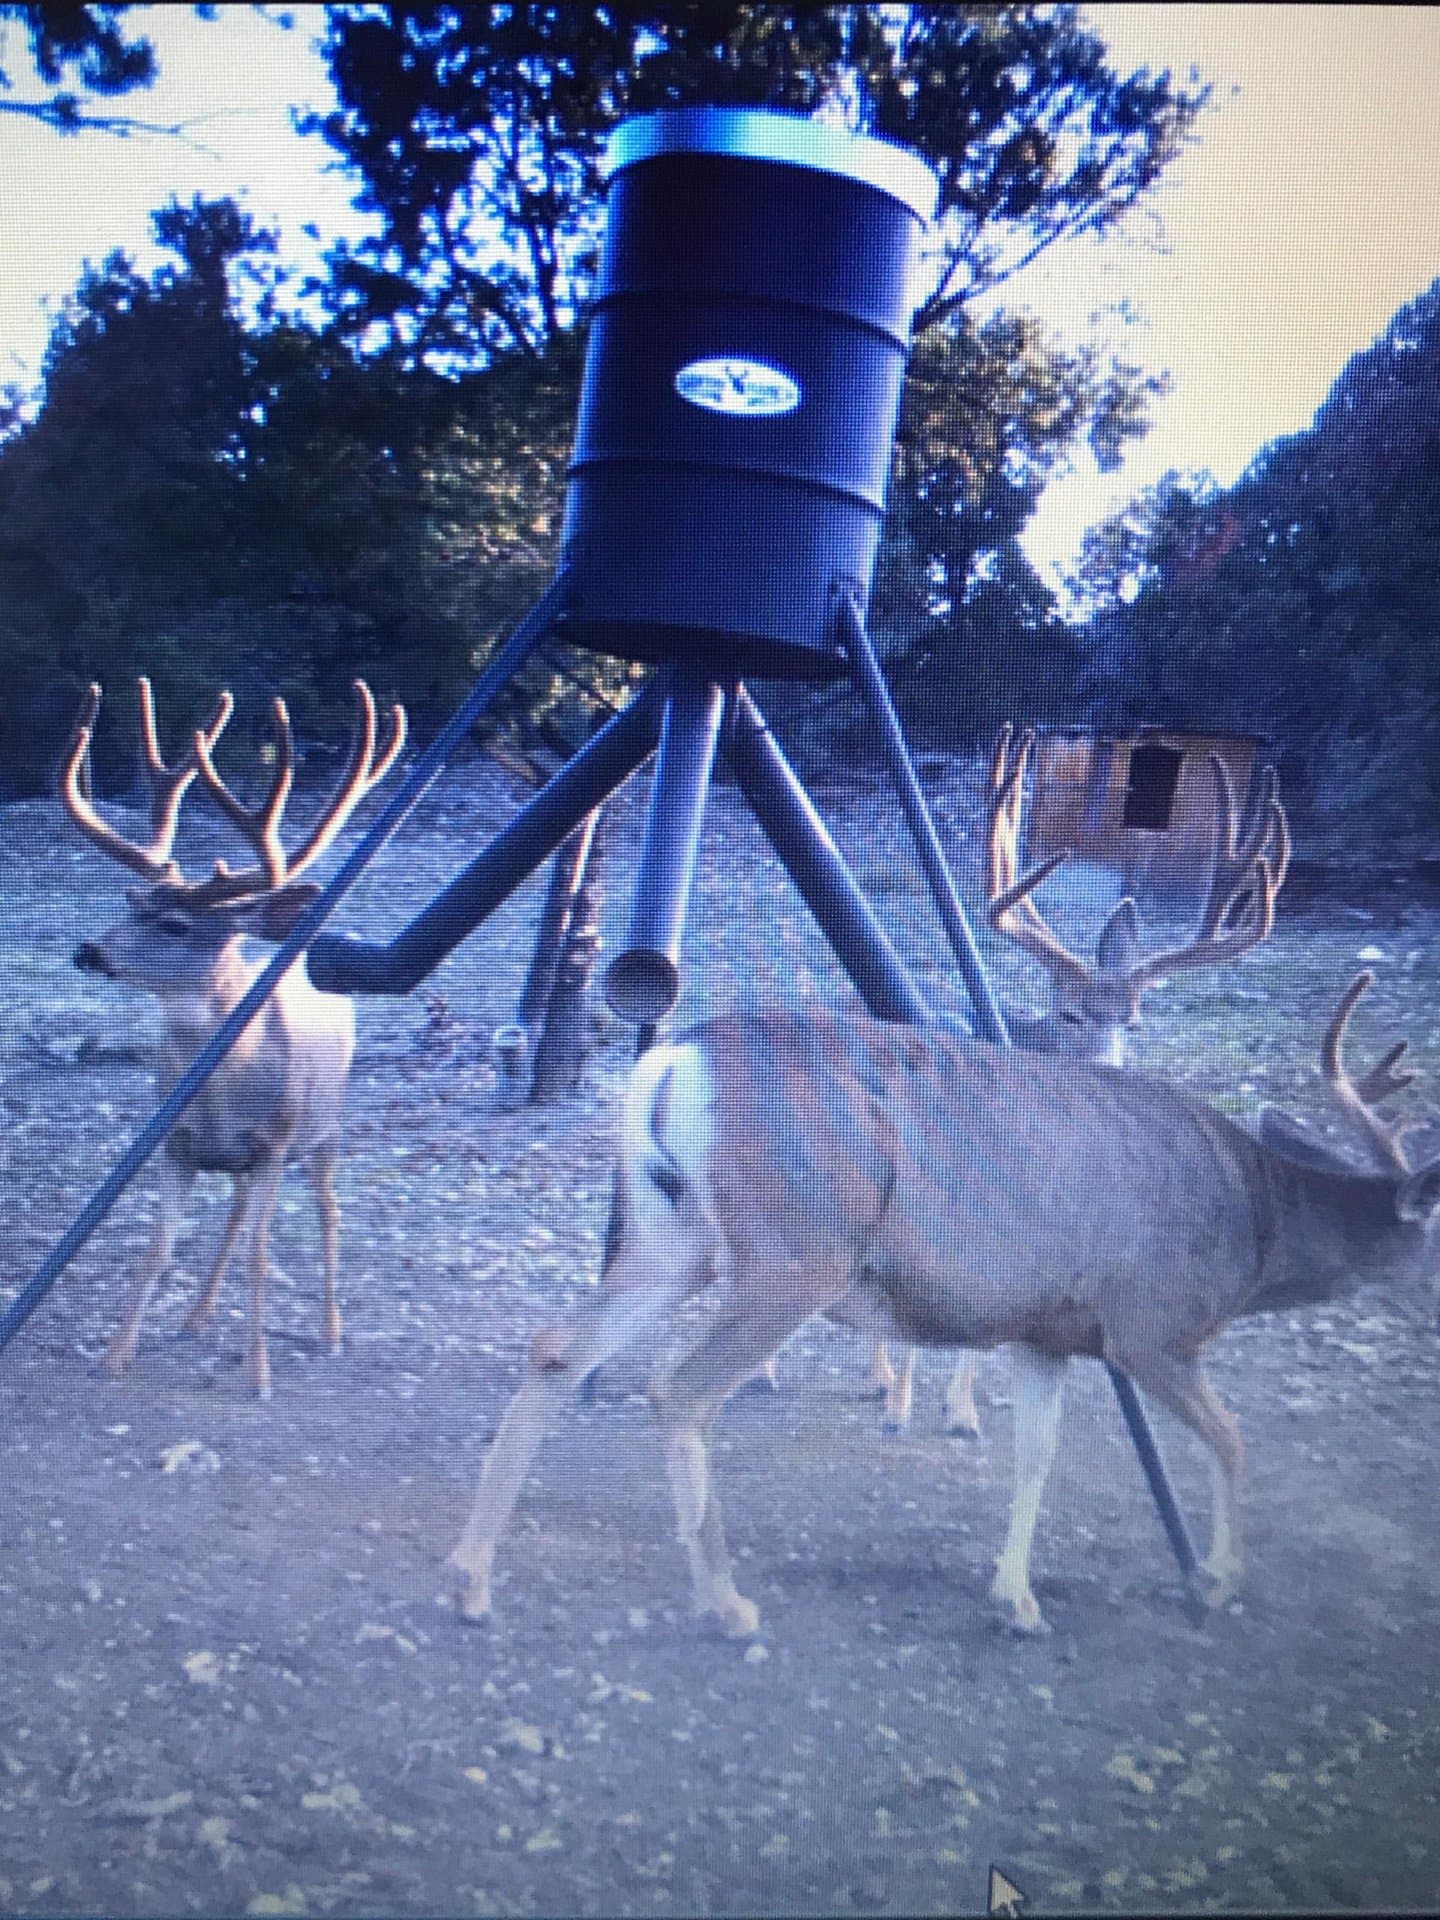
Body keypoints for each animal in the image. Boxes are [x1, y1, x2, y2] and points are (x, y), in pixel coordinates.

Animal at [60, 675, 405, 1399]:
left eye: (176, 926)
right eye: (132, 905)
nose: (89, 951)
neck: (222, 1092)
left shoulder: (276, 1142)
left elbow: (260, 1255)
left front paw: (260, 1375)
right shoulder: (175, 1144)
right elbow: (159, 1247)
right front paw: (116, 1354)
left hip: (327, 1126)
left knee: (327, 1211)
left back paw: (331, 1331)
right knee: (238, 1209)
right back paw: (197, 1317)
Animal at [449, 972, 1438, 1639]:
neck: (1258, 1225)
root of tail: (672, 1056)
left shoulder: (1047, 1332)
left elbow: (1035, 1456)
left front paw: (1018, 1600)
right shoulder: (1150, 1325)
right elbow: (1234, 1442)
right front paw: (1221, 1580)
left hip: (674, 1234)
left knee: (556, 1345)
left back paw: (470, 1577)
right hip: (797, 1245)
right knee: (679, 1389)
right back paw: (725, 1603)